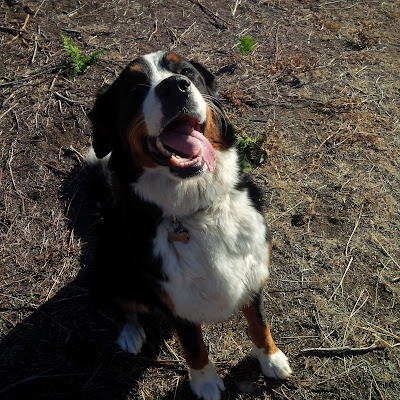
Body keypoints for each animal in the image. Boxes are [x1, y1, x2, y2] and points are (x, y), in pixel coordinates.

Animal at [86, 50, 292, 400]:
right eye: (135, 87)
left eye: (186, 71)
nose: (175, 87)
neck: (197, 208)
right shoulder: (175, 298)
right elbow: (194, 346)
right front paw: (205, 382)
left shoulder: (252, 272)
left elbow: (259, 322)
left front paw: (271, 358)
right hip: (114, 267)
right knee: (123, 305)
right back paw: (130, 333)